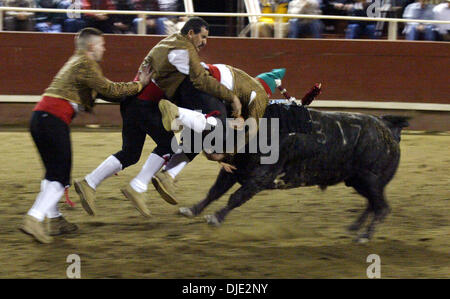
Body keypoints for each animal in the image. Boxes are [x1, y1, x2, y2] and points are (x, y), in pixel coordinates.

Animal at [180, 104, 412, 243]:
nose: (183, 142)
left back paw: (364, 236)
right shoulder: (234, 171)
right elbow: (214, 191)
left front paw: (215, 218)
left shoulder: (261, 177)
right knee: (372, 204)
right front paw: (191, 210)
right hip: (358, 181)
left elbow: (235, 197)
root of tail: (387, 128)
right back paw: (353, 227)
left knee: (381, 207)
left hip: (371, 180)